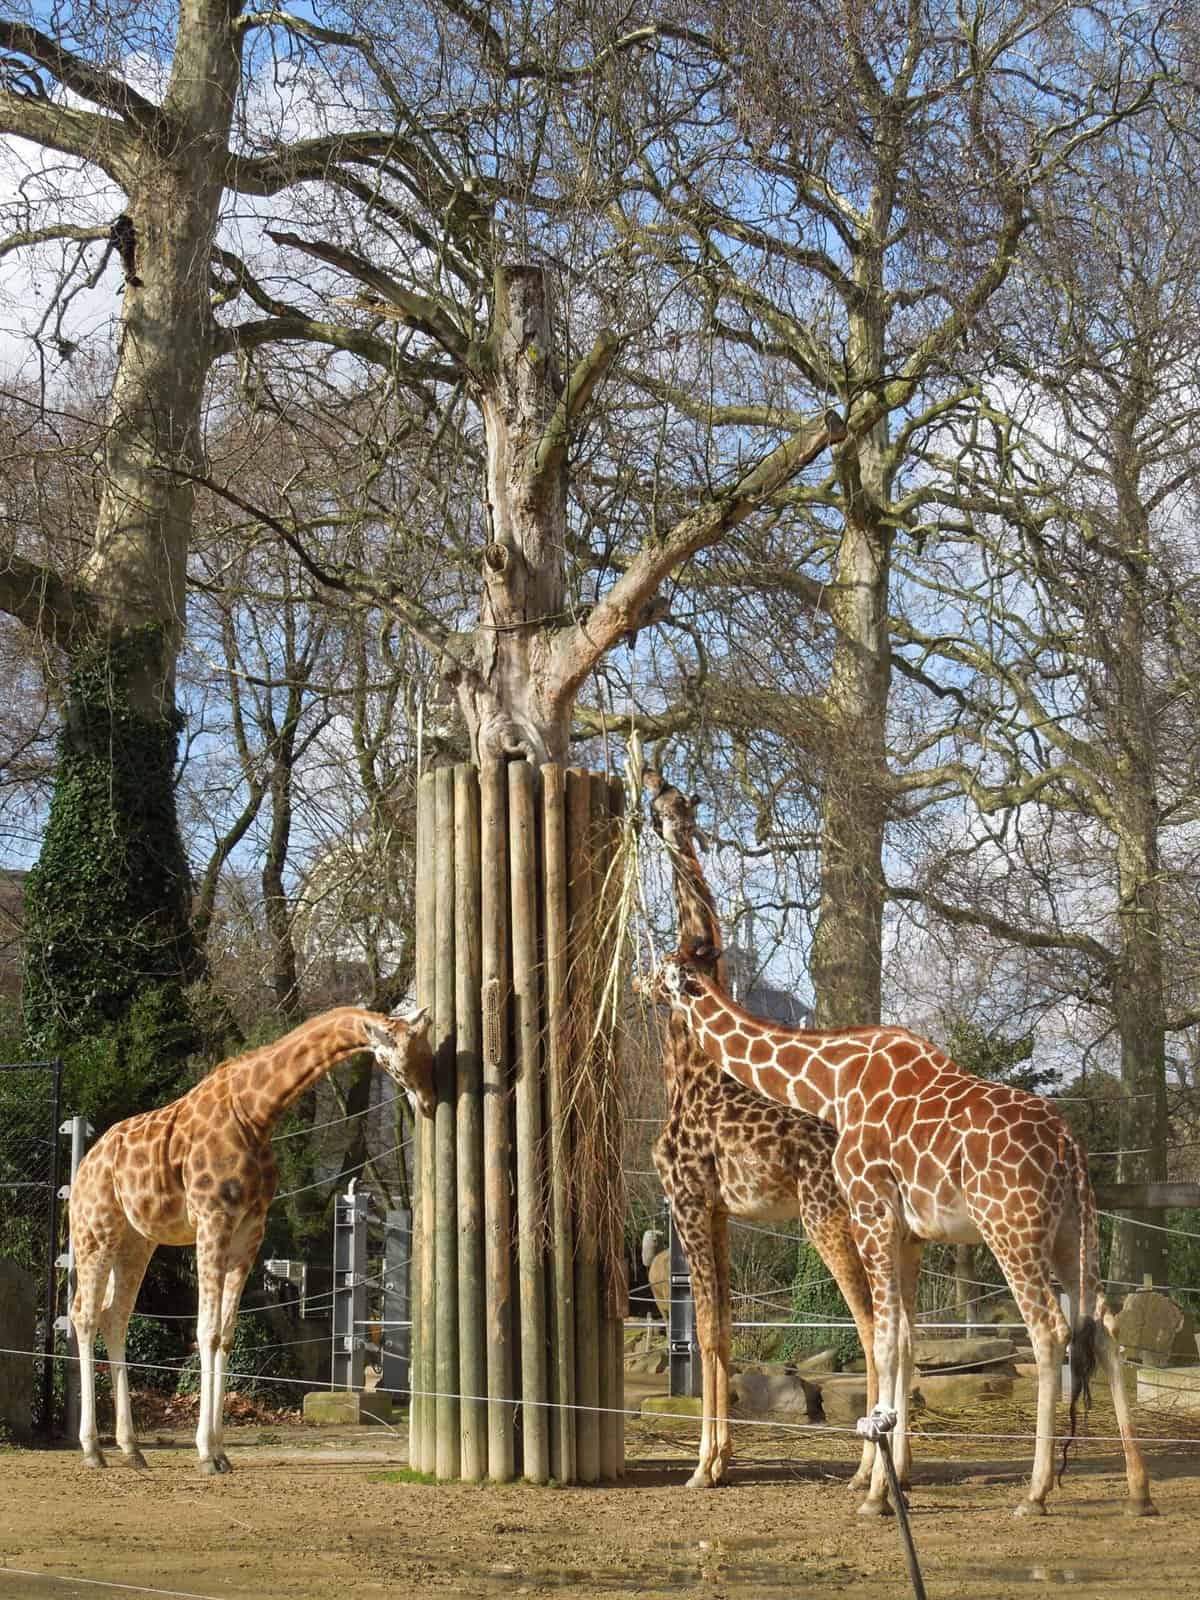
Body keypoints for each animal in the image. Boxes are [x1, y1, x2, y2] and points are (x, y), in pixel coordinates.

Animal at [68, 1005, 434, 1474]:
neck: (256, 1112)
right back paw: (92, 1450)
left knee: (114, 1317)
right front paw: (206, 1453)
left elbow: (225, 1333)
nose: (427, 1101)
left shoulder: (249, 1229)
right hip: (95, 1231)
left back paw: (131, 1449)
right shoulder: (213, 1219)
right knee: (83, 1315)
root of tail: (85, 1167)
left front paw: (220, 1451)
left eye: (428, 1049)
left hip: (137, 1242)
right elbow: (205, 1331)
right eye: (399, 1055)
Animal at [643, 771, 881, 1492]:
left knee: (872, 1326)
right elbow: (719, 1333)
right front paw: (721, 1461)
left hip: (827, 1219)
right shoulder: (720, 1212)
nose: (650, 782)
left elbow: (709, 1334)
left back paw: (869, 1474)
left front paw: (701, 1468)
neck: (686, 1073)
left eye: (676, 804)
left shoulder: (689, 1199)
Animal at [653, 948, 1157, 1517]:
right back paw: (1138, 1491)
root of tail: (1068, 1147)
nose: (639, 984)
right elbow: (907, 1340)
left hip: (1011, 1230)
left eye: (658, 970)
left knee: (1049, 1330)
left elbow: (885, 1339)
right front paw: (891, 1480)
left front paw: (878, 1493)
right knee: (1106, 1326)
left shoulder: (871, 1212)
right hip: (1073, 1234)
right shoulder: (910, 1234)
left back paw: (1036, 1491)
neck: (832, 1084)